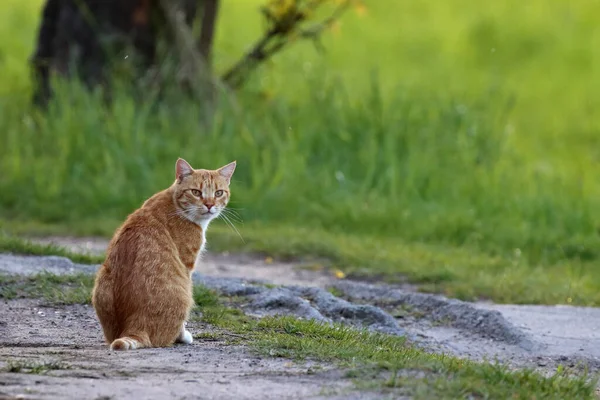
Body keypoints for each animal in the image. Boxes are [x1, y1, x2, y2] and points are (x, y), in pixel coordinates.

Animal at [92, 158, 236, 348]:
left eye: (218, 193)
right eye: (196, 192)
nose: (210, 205)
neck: (174, 203)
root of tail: (134, 327)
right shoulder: (186, 265)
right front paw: (183, 335)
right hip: (185, 292)